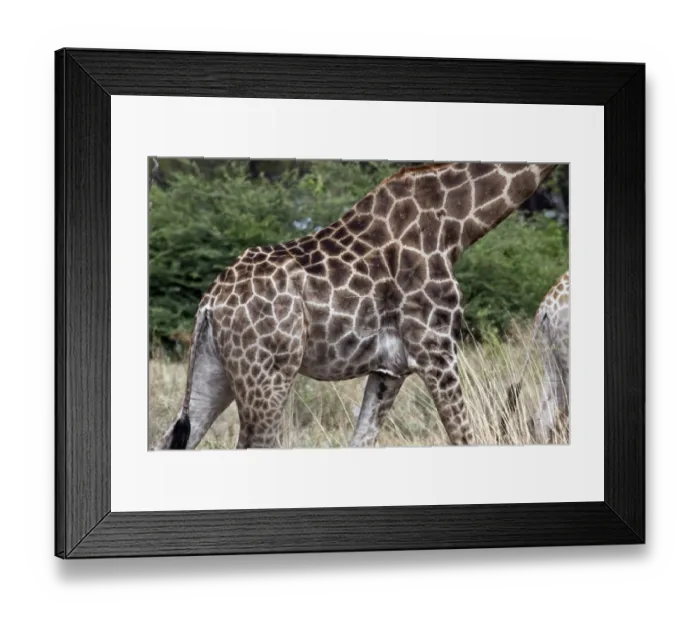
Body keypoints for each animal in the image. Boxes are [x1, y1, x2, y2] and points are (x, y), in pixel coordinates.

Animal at [154, 162, 558, 450]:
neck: (458, 225)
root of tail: (210, 304)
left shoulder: (389, 369)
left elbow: (361, 440)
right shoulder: (436, 349)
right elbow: (463, 436)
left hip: (216, 372)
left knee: (171, 439)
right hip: (267, 377)